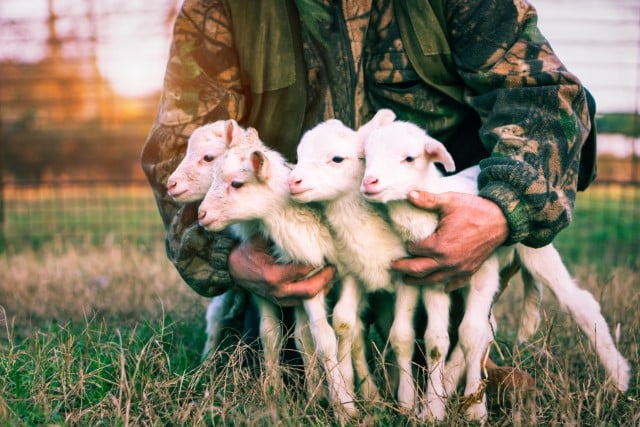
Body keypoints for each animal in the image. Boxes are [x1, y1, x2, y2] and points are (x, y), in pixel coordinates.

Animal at [198, 126, 358, 418]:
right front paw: (276, 395)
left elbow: (323, 337)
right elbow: (280, 336)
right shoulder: (281, 282)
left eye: (237, 184)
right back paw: (205, 365)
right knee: (215, 316)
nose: (202, 215)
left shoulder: (324, 276)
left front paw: (340, 402)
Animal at [360, 110, 632, 418]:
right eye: (366, 156)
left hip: (536, 254)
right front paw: (431, 409)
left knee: (580, 304)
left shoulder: (482, 273)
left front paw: (474, 411)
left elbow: (471, 335)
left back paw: (618, 378)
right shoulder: (432, 280)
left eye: (409, 158)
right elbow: (435, 341)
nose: (369, 183)